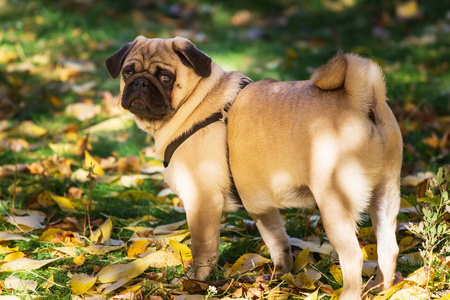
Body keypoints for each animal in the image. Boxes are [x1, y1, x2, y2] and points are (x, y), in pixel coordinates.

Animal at [107, 36, 402, 298]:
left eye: (166, 77)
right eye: (128, 72)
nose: (140, 82)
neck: (197, 101)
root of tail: (359, 100)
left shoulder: (201, 201)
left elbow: (203, 249)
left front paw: (195, 282)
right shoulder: (261, 206)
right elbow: (277, 241)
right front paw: (280, 277)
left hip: (334, 202)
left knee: (353, 256)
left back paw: (351, 293)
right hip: (386, 196)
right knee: (388, 249)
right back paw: (381, 289)